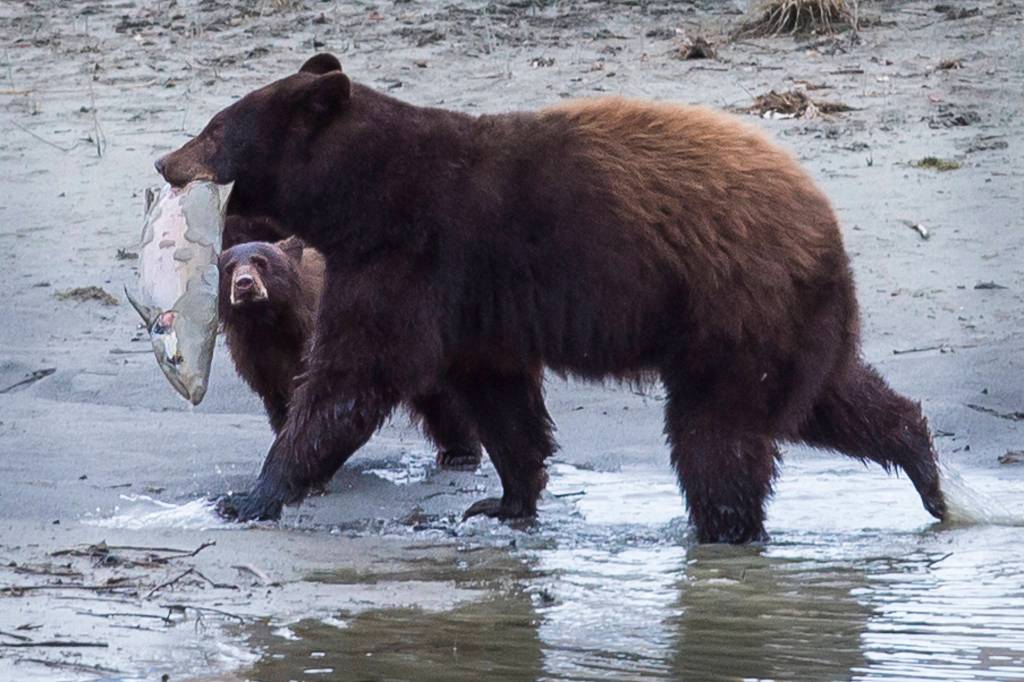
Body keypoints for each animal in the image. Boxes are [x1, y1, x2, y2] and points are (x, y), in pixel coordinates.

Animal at [218, 233, 483, 469]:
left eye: (260, 262)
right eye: (229, 268)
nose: (244, 284)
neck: (272, 324)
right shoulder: (259, 359)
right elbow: (281, 402)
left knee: (441, 397)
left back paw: (460, 453)